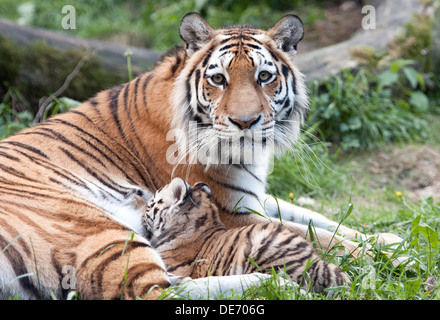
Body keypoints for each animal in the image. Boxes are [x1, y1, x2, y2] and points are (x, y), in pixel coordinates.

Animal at [0, 11, 400, 298]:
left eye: (264, 76)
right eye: (218, 79)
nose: (246, 122)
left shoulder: (251, 198)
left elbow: (319, 218)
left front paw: (389, 239)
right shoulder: (231, 211)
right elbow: (314, 234)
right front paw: (389, 255)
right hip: (96, 227)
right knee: (153, 293)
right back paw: (272, 284)